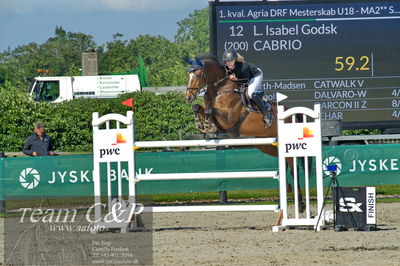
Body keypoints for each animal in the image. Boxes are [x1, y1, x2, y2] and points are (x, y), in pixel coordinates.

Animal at [185, 53, 306, 212]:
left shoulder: (228, 119)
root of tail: (291, 112)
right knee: (285, 164)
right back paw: (288, 188)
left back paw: (301, 204)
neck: (219, 90)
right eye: (188, 74)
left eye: (198, 74)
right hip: (267, 146)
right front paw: (201, 124)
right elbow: (198, 108)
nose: (188, 97)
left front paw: (207, 125)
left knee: (294, 169)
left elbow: (211, 111)